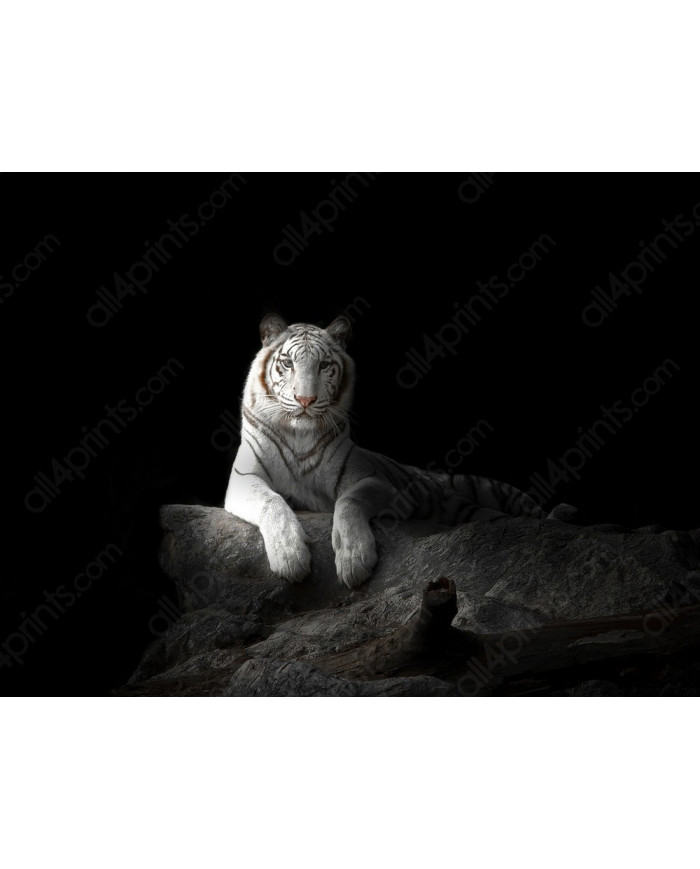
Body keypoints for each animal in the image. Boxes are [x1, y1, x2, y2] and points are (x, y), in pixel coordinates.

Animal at [224, 313, 567, 589]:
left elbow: (348, 502)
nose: (305, 400)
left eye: (323, 365)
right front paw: (290, 556)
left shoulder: (375, 481)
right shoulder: (243, 479)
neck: (299, 434)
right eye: (288, 363)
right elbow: (272, 502)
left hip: (494, 493)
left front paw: (354, 558)